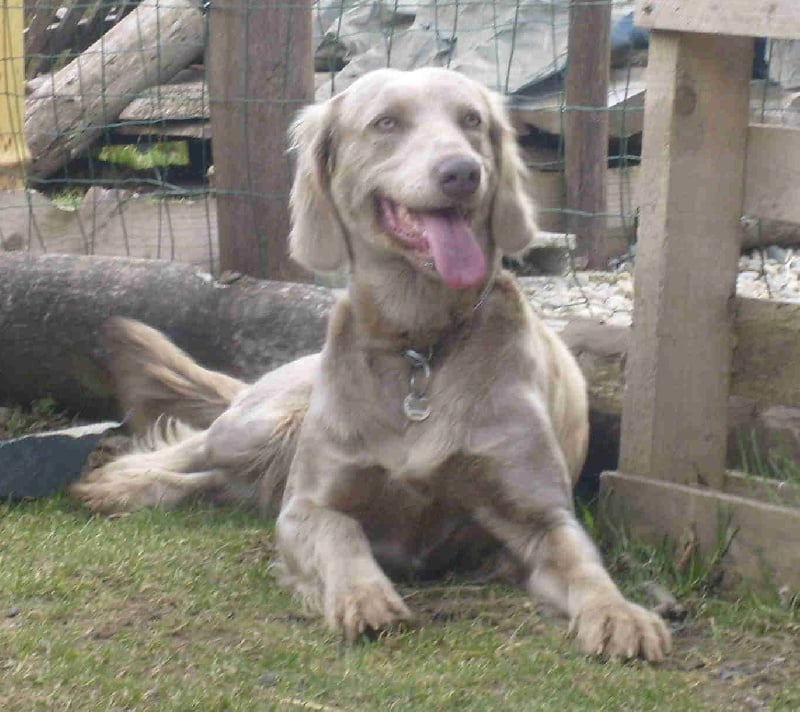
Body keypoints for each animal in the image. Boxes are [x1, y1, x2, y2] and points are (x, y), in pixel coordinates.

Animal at [70, 68, 668, 660]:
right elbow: (343, 535)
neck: (420, 346)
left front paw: (621, 614)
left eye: (472, 120)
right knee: (187, 447)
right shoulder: (307, 506)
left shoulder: (540, 517)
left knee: (212, 480)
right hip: (262, 425)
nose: (462, 172)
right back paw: (116, 483)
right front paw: (363, 594)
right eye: (386, 123)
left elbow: (585, 564)